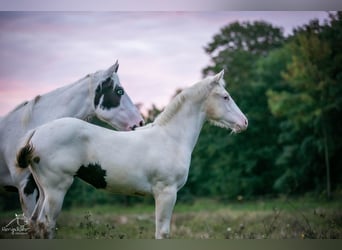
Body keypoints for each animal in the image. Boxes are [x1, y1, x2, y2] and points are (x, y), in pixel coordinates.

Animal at [16, 70, 248, 238]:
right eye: (225, 97)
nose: (244, 122)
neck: (170, 138)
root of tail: (36, 132)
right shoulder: (166, 192)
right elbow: (162, 233)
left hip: (43, 190)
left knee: (36, 224)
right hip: (56, 189)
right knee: (46, 225)